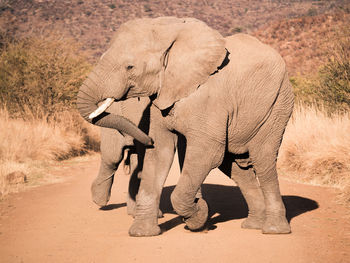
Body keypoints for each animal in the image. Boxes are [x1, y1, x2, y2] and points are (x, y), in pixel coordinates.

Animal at [76, 17, 292, 238]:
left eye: (130, 67)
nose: (145, 138)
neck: (172, 34)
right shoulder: (162, 94)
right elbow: (159, 152)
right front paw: (142, 233)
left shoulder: (209, 98)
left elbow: (207, 152)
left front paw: (199, 216)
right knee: (235, 167)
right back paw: (253, 225)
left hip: (277, 105)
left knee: (263, 160)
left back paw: (274, 230)